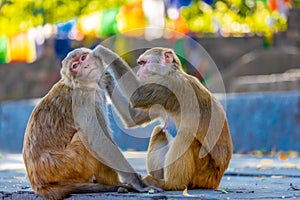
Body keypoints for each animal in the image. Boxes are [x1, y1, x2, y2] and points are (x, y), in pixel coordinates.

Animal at [22, 45, 162, 200]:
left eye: (83, 58)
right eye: (75, 66)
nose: (86, 66)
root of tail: (38, 184)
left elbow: (133, 117)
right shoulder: (84, 98)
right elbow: (98, 142)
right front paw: (137, 183)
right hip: (66, 166)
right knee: (86, 139)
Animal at [130, 47, 233, 191]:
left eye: (143, 63)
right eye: (140, 64)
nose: (139, 73)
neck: (171, 72)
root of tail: (216, 181)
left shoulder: (172, 84)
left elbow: (137, 96)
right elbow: (134, 117)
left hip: (205, 173)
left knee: (185, 135)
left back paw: (171, 184)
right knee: (160, 130)